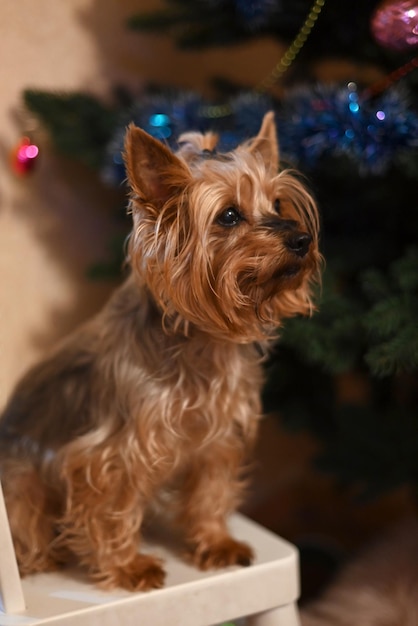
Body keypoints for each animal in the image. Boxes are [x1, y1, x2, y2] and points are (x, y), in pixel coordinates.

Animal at [0, 113, 320, 588]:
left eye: (278, 204)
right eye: (228, 215)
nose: (302, 240)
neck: (203, 341)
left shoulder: (218, 436)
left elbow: (210, 491)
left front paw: (215, 542)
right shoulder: (112, 451)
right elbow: (112, 508)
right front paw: (127, 566)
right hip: (21, 485)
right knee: (30, 535)